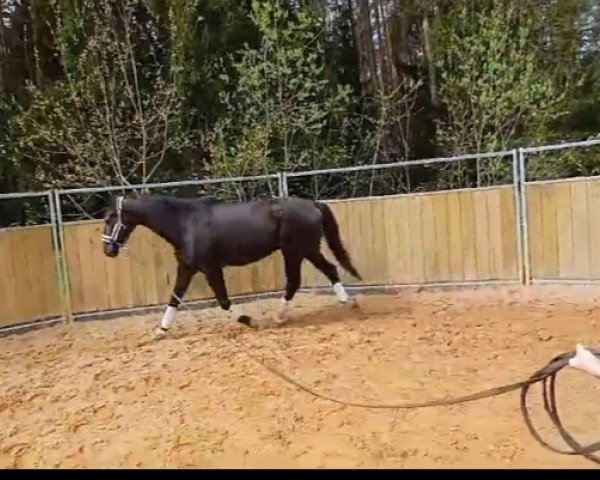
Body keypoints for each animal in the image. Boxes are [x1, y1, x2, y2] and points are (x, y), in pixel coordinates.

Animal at [101, 194, 364, 338]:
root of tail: (313, 204)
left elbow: (224, 301)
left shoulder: (210, 268)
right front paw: (160, 331)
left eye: (111, 218)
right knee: (327, 271)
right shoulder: (187, 267)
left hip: (297, 251)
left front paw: (250, 321)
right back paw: (347, 304)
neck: (186, 222)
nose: (108, 250)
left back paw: (279, 318)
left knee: (298, 280)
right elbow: (174, 297)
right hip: (305, 251)